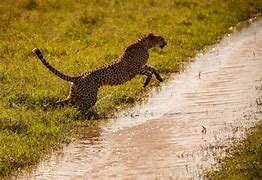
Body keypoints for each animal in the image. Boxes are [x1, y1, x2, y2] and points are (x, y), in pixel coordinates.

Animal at [32, 32, 167, 111]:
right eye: (162, 39)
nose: (166, 43)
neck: (145, 44)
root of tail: (80, 75)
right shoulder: (135, 69)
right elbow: (149, 72)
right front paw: (146, 83)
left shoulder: (141, 67)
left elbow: (152, 68)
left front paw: (159, 78)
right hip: (90, 96)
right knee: (79, 107)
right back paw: (86, 116)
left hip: (75, 94)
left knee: (64, 102)